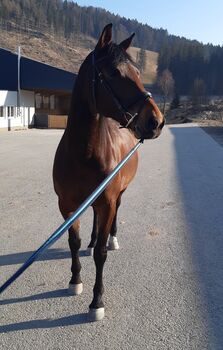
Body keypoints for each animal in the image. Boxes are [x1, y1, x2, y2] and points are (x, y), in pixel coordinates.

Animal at [52, 23, 164, 322]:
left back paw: (112, 238)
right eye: (113, 72)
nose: (157, 121)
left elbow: (102, 255)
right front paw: (75, 280)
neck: (84, 152)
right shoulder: (67, 206)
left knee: (112, 220)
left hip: (116, 197)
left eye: (137, 72)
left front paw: (97, 301)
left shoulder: (108, 201)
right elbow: (73, 241)